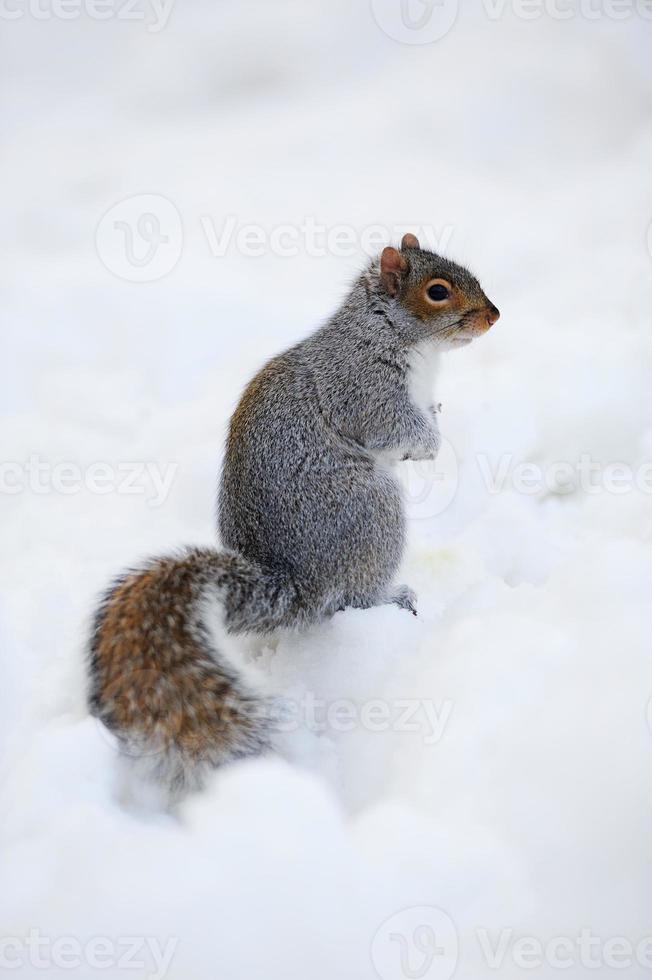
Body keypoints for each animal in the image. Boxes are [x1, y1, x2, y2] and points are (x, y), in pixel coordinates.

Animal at [88, 234, 500, 800]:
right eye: (437, 291)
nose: (494, 316)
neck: (385, 328)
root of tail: (296, 582)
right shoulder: (364, 388)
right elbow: (396, 429)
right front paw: (430, 442)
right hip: (372, 513)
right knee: (348, 598)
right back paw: (390, 598)